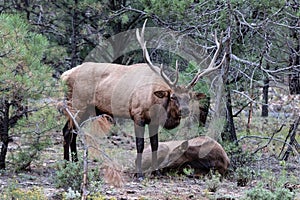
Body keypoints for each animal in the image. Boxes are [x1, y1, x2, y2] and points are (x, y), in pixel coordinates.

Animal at [60, 20, 225, 179]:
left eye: (189, 97)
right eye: (173, 96)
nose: (184, 110)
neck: (155, 101)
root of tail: (65, 75)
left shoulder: (154, 122)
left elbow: (155, 144)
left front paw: (156, 172)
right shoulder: (137, 115)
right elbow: (139, 144)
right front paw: (139, 174)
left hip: (87, 109)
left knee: (72, 131)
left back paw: (75, 162)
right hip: (77, 104)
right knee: (68, 131)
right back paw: (67, 163)